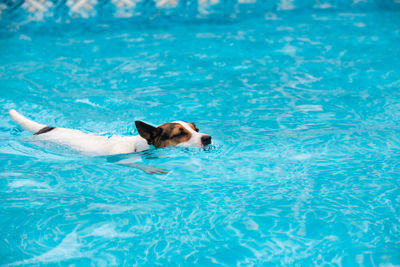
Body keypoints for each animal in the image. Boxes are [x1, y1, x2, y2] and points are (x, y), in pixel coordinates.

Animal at [8, 110, 212, 175]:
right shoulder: (120, 158)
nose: (208, 138)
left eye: (196, 129)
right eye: (180, 133)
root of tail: (47, 127)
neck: (138, 146)